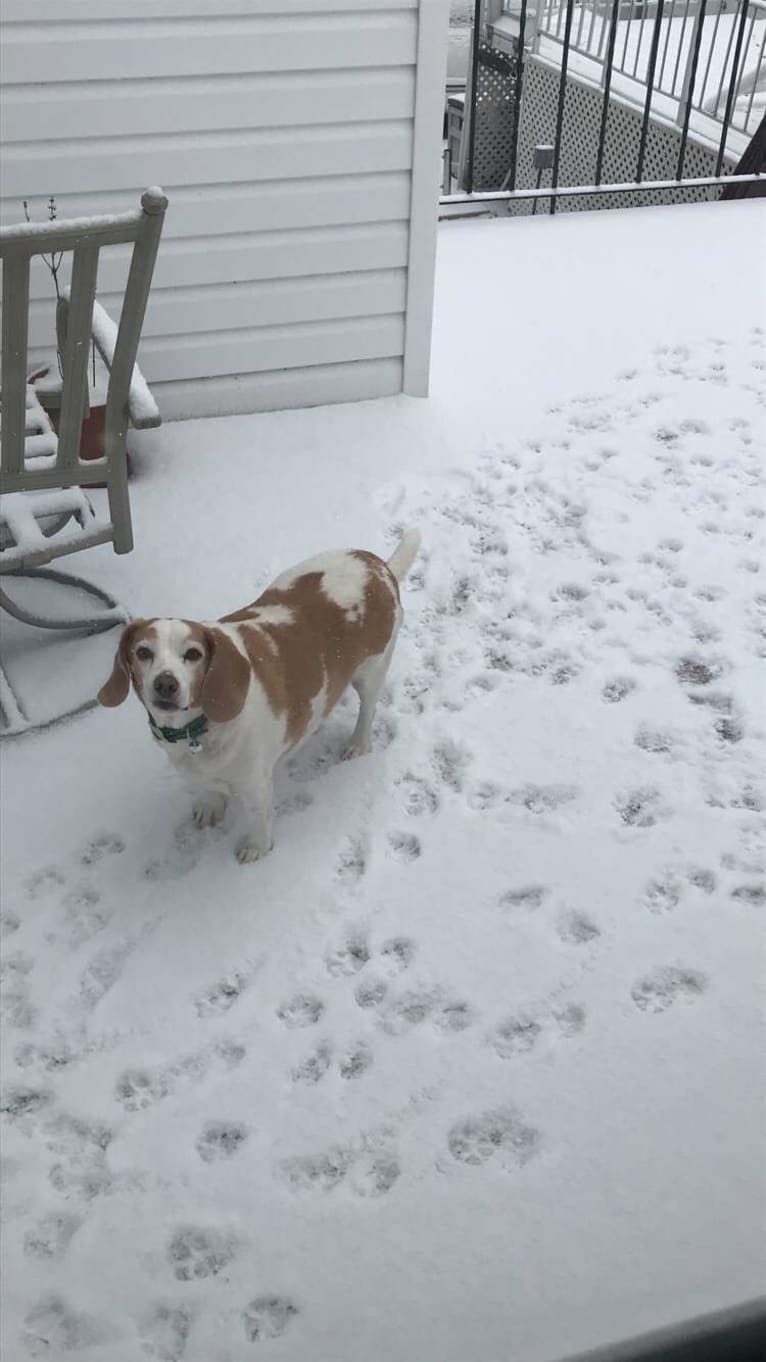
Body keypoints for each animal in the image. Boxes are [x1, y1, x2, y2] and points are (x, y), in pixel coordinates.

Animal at [96, 531, 417, 860]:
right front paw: (211, 803)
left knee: (368, 710)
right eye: (143, 652)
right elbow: (210, 788)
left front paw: (256, 851)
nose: (165, 684)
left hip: (372, 671)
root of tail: (377, 564)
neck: (198, 727)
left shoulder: (256, 785)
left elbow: (258, 822)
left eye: (193, 654)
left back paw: (357, 743)